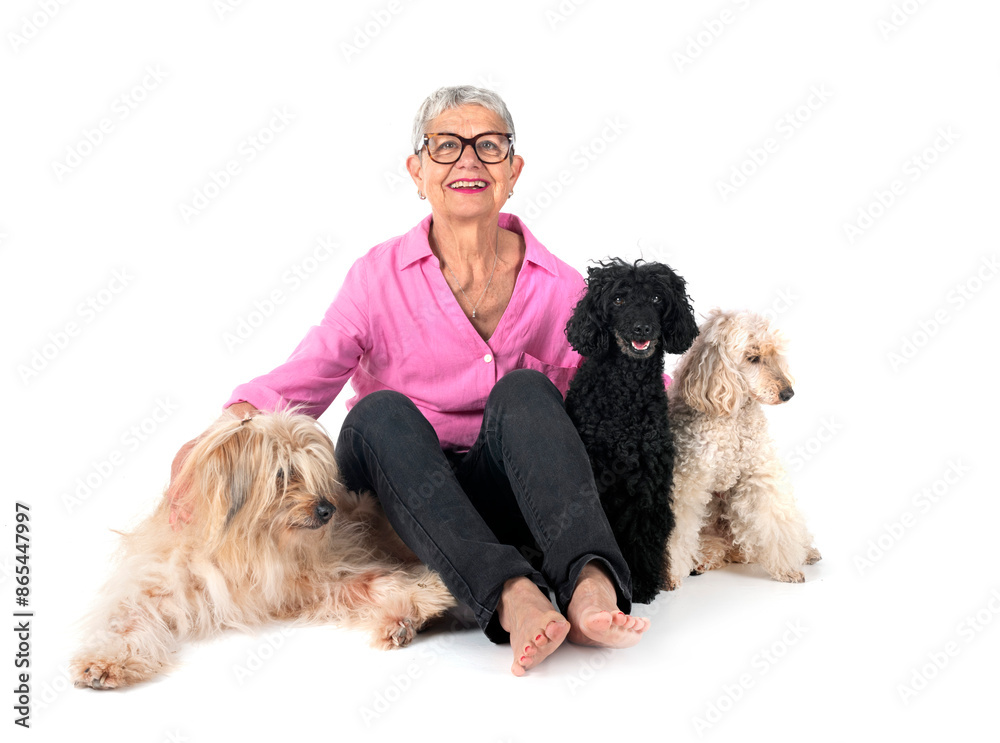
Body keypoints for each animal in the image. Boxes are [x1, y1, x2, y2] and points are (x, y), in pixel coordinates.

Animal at [72, 410, 456, 688]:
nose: (327, 509)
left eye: (316, 474)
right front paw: (105, 661)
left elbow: (371, 581)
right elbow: (128, 622)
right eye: (283, 474)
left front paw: (423, 593)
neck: (246, 549)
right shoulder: (160, 584)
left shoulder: (316, 575)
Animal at [664, 310, 820, 588]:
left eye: (773, 354)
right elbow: (678, 529)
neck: (732, 418)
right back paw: (702, 560)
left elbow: (776, 520)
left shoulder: (757, 473)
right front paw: (669, 574)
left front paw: (787, 568)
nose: (788, 393)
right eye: (753, 358)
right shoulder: (687, 480)